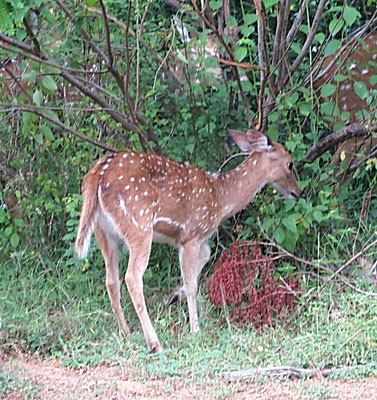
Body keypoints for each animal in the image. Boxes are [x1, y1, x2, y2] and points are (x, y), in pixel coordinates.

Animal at [75, 130, 302, 352]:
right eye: (290, 163)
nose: (297, 193)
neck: (221, 199)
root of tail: (97, 175)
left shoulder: (191, 239)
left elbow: (201, 263)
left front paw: (175, 296)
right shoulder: (192, 233)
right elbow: (193, 283)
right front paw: (195, 329)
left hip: (104, 232)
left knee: (111, 280)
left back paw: (126, 333)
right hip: (139, 224)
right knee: (132, 277)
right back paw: (154, 343)